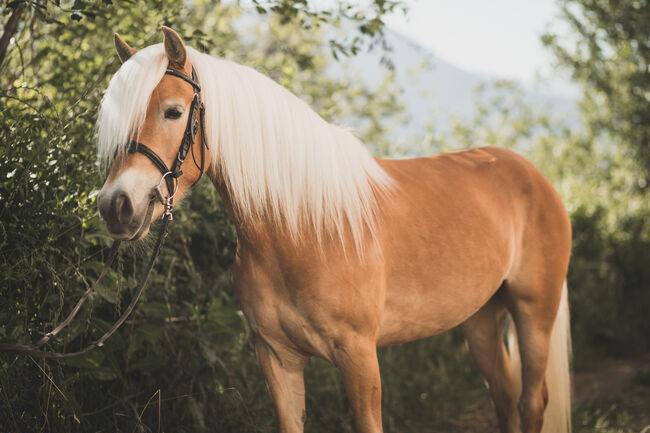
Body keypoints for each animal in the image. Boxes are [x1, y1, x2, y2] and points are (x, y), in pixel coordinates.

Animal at [97, 27, 572, 432]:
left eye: (173, 112)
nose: (115, 206)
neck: (304, 230)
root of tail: (535, 177)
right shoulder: (276, 356)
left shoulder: (359, 356)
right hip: (481, 320)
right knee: (504, 398)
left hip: (534, 312)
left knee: (532, 402)